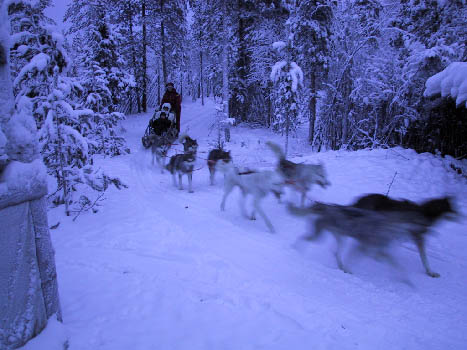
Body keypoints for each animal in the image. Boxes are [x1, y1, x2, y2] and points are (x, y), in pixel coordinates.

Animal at [288, 194, 458, 276]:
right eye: (452, 208)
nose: (461, 216)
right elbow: (423, 259)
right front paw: (429, 272)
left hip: (338, 237)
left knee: (335, 252)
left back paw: (341, 265)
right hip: (321, 235)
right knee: (304, 240)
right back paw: (295, 249)